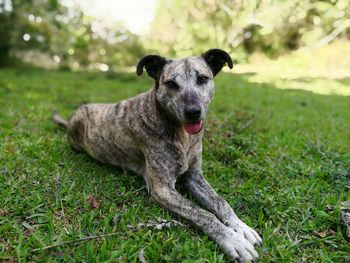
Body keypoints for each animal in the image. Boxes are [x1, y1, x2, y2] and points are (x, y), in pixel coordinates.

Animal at [53, 49, 262, 262]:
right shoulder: (162, 189)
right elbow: (203, 214)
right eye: (171, 84)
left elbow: (220, 202)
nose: (193, 112)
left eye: (202, 79)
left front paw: (241, 227)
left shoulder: (194, 176)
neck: (181, 133)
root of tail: (71, 118)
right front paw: (232, 239)